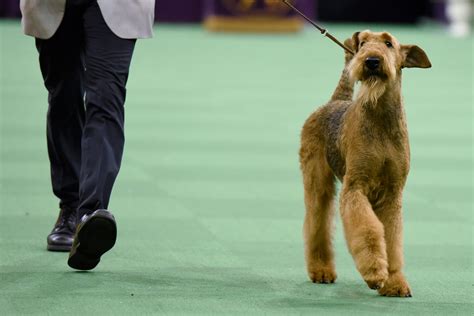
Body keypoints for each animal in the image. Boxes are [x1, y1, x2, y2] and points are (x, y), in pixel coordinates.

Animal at [302, 29, 432, 296]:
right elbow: (369, 231)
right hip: (316, 179)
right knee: (317, 222)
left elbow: (391, 241)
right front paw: (375, 273)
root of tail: (334, 102)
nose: (371, 60)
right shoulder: (355, 187)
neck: (380, 119)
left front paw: (394, 283)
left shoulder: (392, 194)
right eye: (362, 43)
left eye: (388, 43)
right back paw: (321, 270)